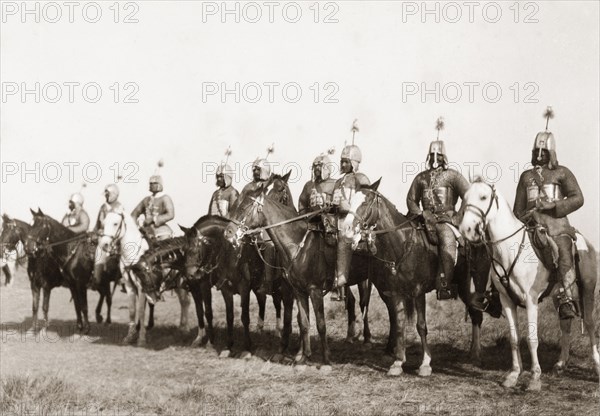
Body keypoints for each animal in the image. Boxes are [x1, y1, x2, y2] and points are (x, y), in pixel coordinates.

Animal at [340, 180, 494, 376]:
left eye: (365, 202)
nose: (346, 229)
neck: (403, 244)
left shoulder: (418, 292)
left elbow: (421, 325)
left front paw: (425, 364)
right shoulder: (395, 294)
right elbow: (399, 324)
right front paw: (398, 362)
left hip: (475, 283)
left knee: (476, 314)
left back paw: (475, 354)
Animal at [458, 179, 596, 390]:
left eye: (483, 197)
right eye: (464, 198)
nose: (466, 230)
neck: (510, 249)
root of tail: (585, 242)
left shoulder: (531, 300)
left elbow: (532, 339)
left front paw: (534, 378)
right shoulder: (506, 300)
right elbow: (514, 339)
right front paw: (514, 375)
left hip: (588, 289)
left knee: (589, 323)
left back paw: (596, 366)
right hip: (559, 295)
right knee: (565, 323)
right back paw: (560, 364)